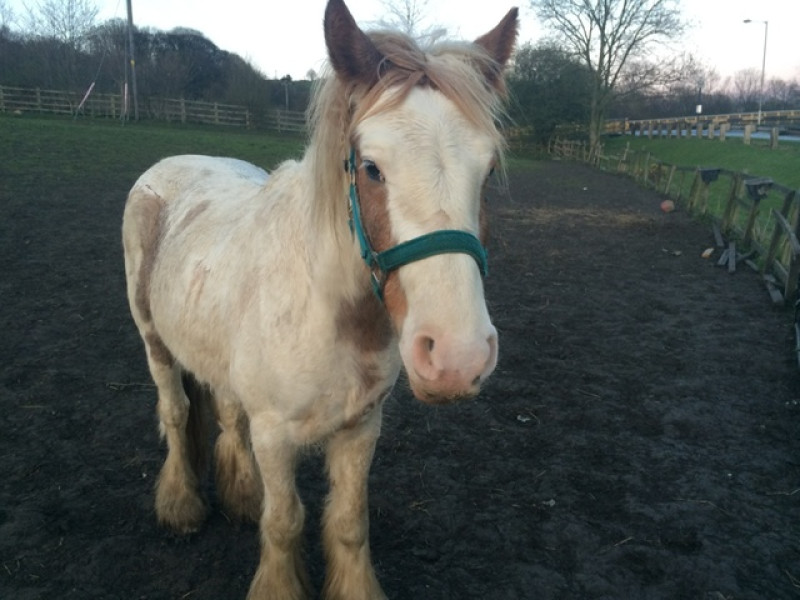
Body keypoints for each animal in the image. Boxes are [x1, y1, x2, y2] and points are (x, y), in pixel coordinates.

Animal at [121, 1, 518, 598]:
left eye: (488, 170)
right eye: (372, 168)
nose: (456, 357)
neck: (333, 316)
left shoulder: (360, 429)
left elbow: (349, 523)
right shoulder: (275, 437)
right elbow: (285, 522)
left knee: (227, 413)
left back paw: (239, 495)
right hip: (154, 340)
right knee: (176, 410)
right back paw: (181, 505)